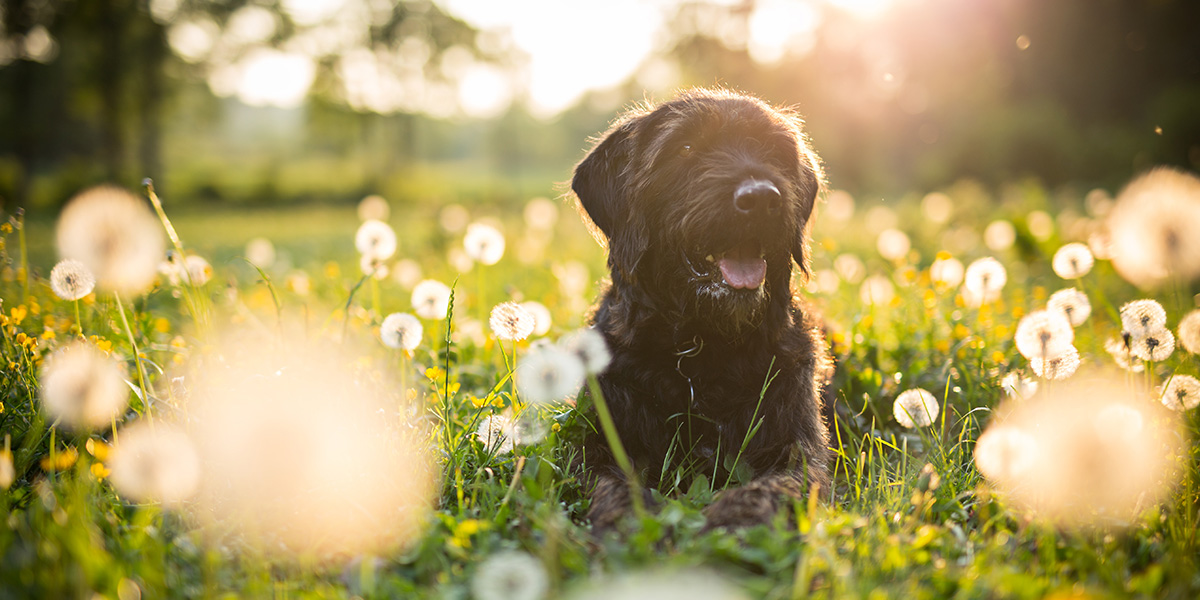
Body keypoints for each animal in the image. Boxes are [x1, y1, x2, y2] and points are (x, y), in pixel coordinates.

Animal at [571, 87, 835, 530]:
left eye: (774, 151)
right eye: (686, 148)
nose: (761, 198)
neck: (702, 351)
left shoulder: (799, 448)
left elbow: (773, 485)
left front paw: (733, 522)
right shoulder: (592, 443)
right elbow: (611, 486)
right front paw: (634, 524)